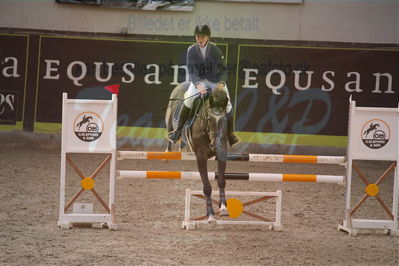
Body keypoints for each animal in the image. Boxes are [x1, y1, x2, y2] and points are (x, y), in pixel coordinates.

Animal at [165, 81, 228, 222]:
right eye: (209, 118)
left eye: (223, 120)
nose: (215, 144)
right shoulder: (201, 156)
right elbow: (207, 187)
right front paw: (210, 214)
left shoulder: (222, 154)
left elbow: (221, 181)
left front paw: (223, 208)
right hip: (170, 120)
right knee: (171, 133)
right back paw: (167, 153)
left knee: (181, 142)